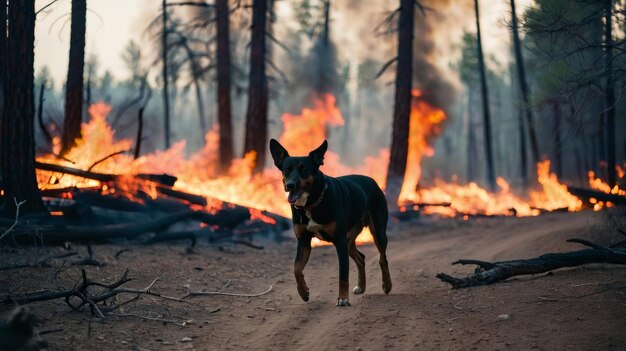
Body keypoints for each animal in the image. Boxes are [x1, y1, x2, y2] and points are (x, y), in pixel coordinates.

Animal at [268, 139, 390, 306]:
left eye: (304, 170)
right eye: (287, 170)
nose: (290, 185)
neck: (312, 204)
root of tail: (373, 181)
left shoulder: (339, 241)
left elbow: (343, 274)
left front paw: (343, 298)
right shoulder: (304, 241)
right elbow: (296, 268)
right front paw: (303, 292)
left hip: (377, 230)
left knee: (382, 258)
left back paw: (387, 284)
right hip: (349, 238)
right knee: (361, 258)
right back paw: (361, 286)